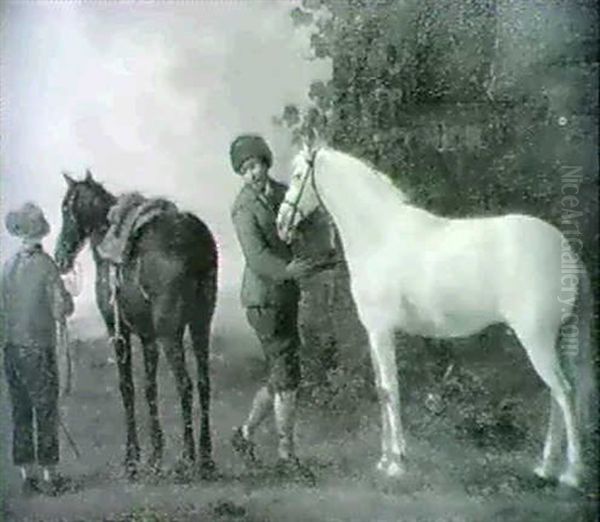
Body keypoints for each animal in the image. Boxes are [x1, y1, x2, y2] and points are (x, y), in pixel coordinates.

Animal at [54, 170, 218, 476]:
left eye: (66, 208)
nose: (60, 256)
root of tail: (195, 240)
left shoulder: (118, 332)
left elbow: (127, 388)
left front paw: (132, 458)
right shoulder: (147, 336)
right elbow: (149, 388)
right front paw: (156, 454)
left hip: (171, 334)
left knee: (185, 384)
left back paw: (188, 458)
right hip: (201, 326)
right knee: (203, 383)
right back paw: (206, 457)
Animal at [276, 144, 596, 486]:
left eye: (298, 175)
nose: (281, 223)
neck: (380, 235)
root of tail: (566, 250)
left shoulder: (382, 331)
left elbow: (390, 389)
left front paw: (397, 462)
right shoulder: (373, 332)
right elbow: (381, 390)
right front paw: (384, 459)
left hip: (537, 339)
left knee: (564, 393)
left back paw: (572, 473)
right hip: (558, 339)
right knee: (557, 396)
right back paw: (546, 467)